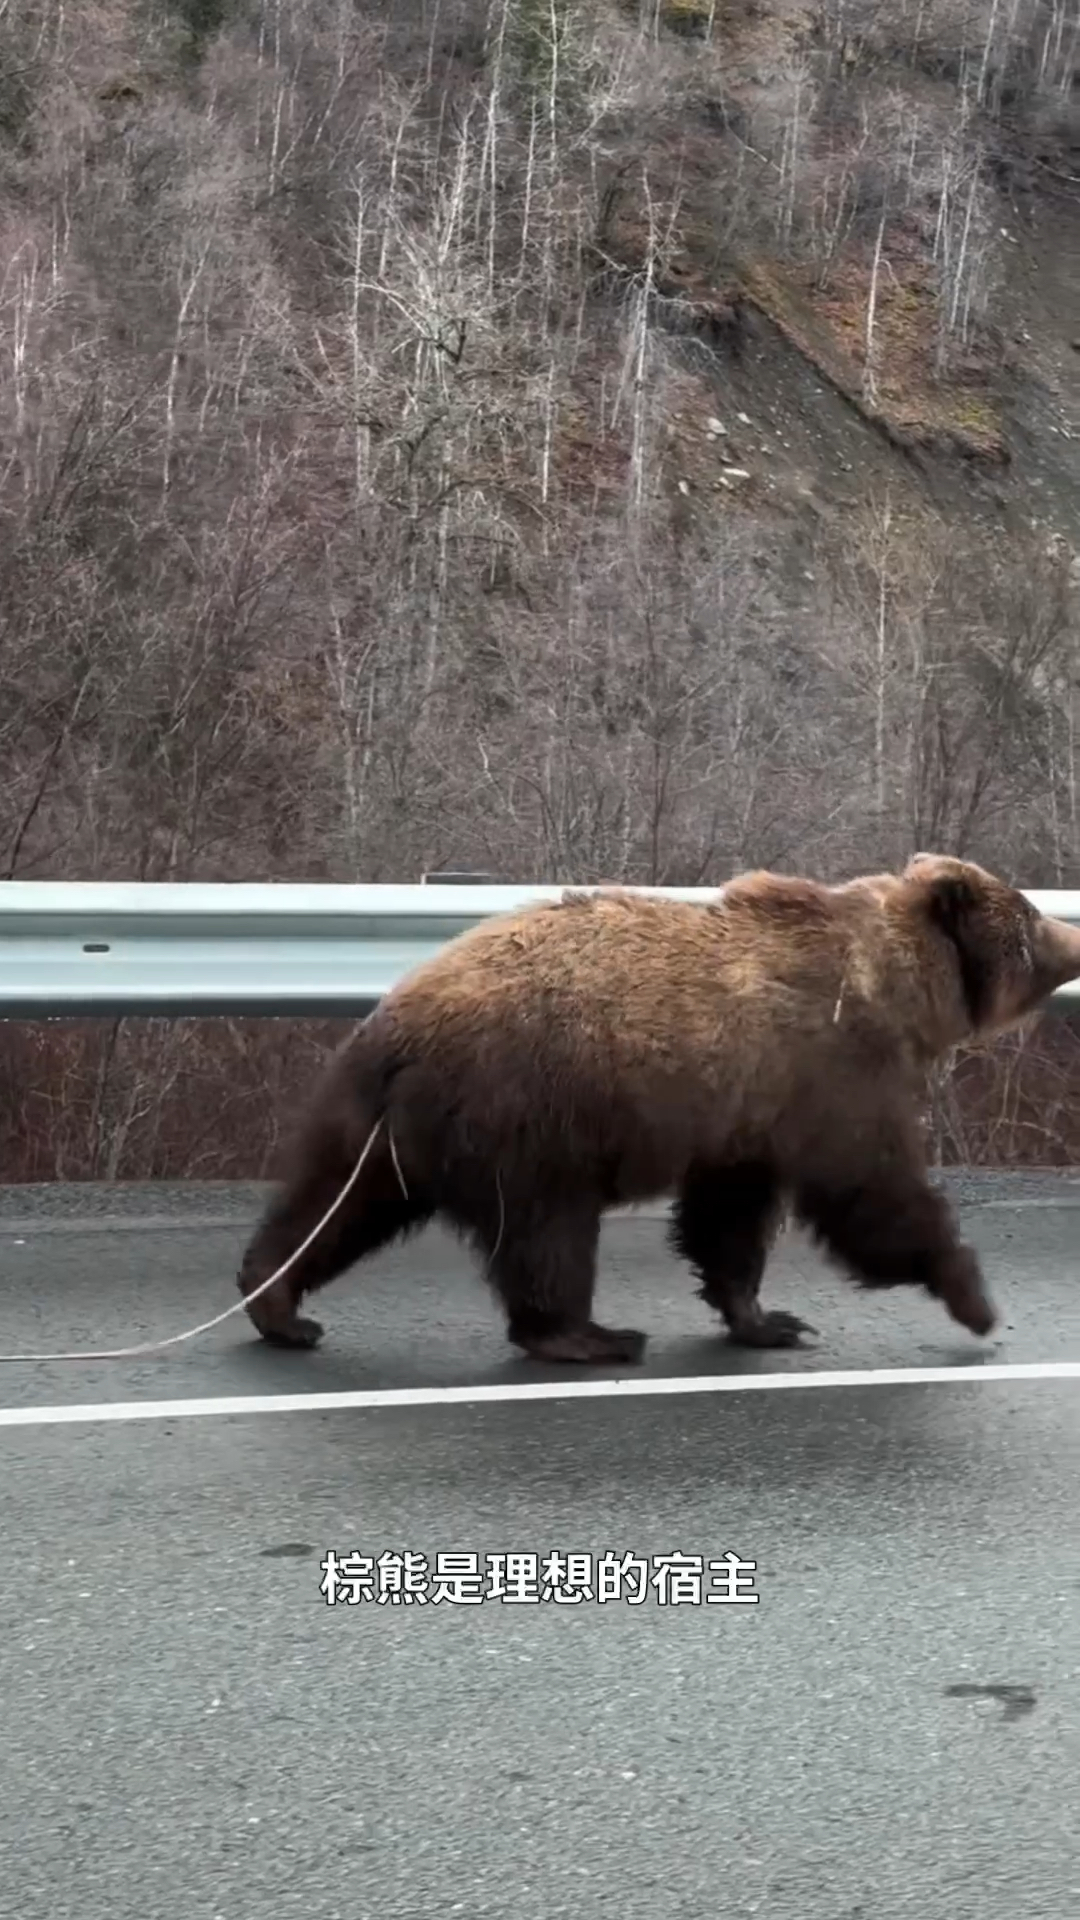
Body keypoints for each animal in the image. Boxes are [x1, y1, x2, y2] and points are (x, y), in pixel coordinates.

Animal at [235, 856, 1080, 1367]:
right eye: (1030, 918)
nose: (1074, 936)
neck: (899, 991)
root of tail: (400, 1034)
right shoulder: (830, 1069)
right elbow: (872, 1192)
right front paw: (974, 1299)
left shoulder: (745, 1112)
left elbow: (728, 1218)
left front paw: (764, 1318)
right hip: (528, 1110)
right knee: (548, 1233)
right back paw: (589, 1334)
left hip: (375, 1123)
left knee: (332, 1205)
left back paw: (278, 1305)